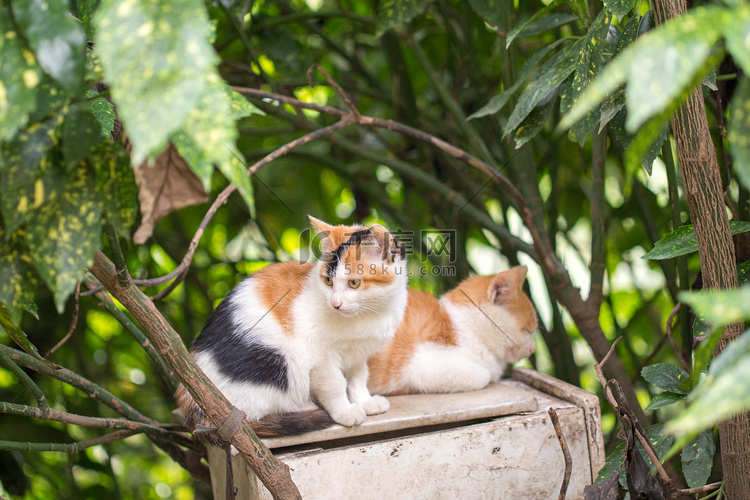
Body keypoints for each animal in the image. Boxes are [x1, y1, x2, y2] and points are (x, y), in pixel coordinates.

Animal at [177, 217, 408, 436]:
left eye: (354, 283)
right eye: (328, 281)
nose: (335, 304)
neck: (369, 314)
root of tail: (191, 401)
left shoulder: (359, 353)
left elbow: (358, 378)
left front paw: (365, 401)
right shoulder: (320, 355)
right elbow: (334, 384)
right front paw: (345, 412)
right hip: (278, 363)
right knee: (253, 414)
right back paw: (304, 408)